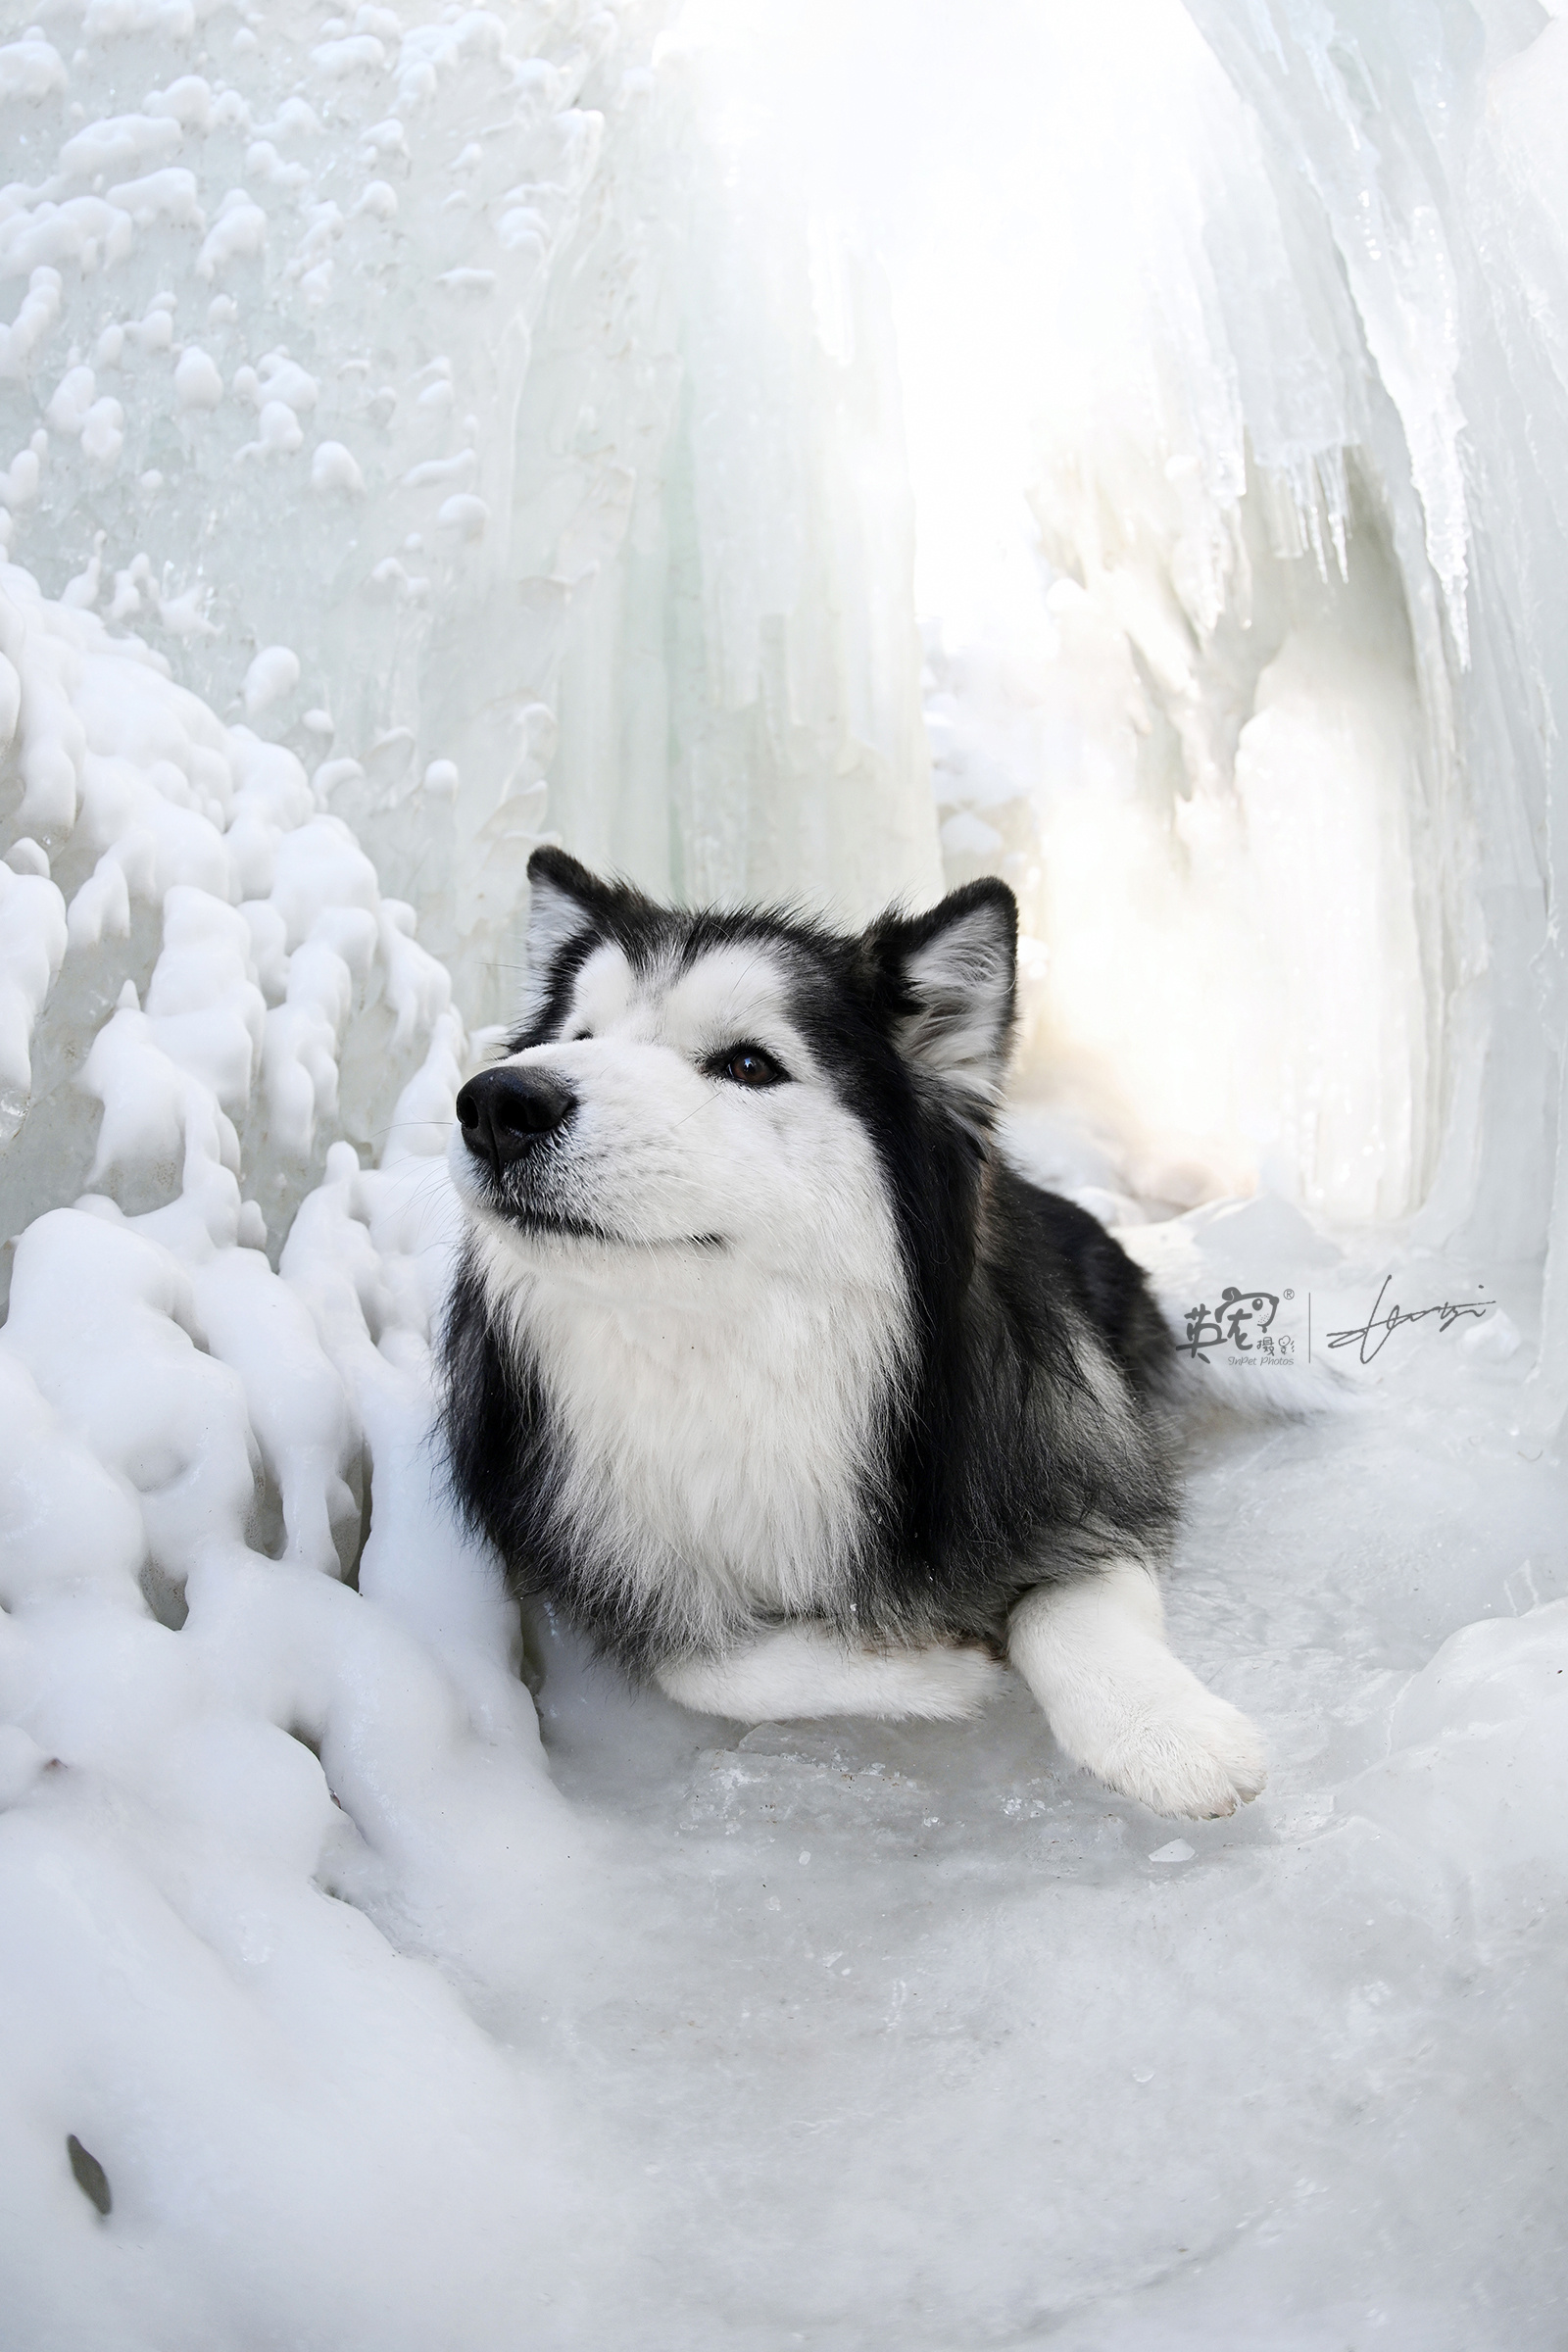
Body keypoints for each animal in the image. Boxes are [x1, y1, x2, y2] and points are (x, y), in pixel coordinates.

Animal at [434, 847, 1269, 1815]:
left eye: (750, 1064)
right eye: (572, 1039)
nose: (499, 1103)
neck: (735, 1360)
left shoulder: (1078, 1456)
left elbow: (1070, 1596)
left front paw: (1166, 1736)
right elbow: (707, 1666)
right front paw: (940, 1673)